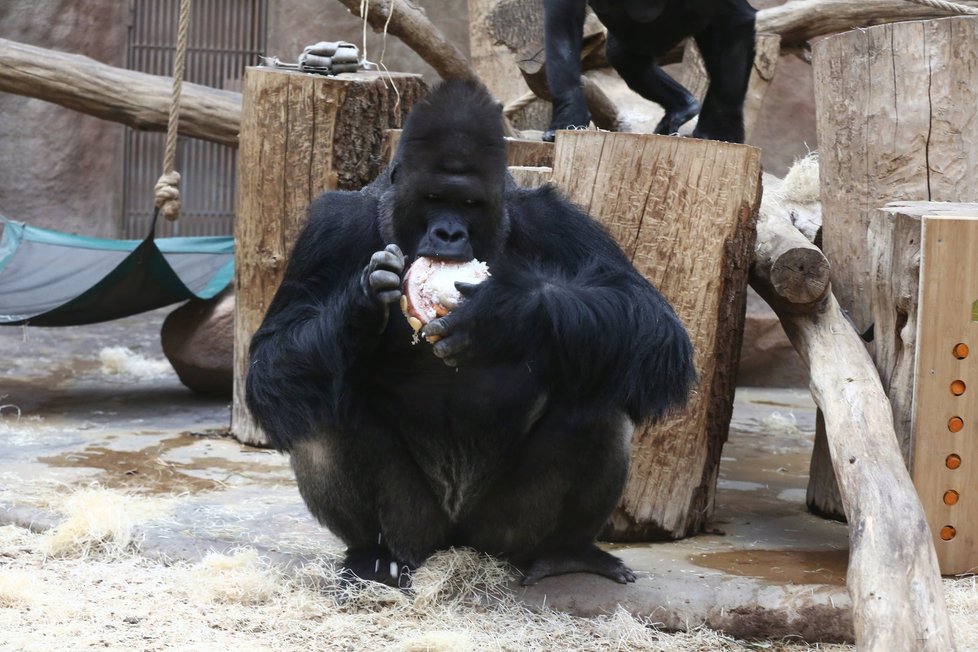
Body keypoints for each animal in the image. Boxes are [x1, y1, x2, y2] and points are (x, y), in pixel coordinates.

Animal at [244, 79, 692, 588]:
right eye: (434, 200)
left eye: (470, 204)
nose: (449, 234)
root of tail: (455, 545)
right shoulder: (329, 228)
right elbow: (271, 362)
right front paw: (360, 306)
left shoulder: (558, 219)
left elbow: (652, 325)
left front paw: (508, 314)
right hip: (416, 530)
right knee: (311, 398)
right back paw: (370, 555)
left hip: (502, 532)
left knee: (602, 389)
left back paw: (566, 551)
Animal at [540, 0, 756, 143]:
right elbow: (563, 21)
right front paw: (569, 113)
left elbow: (738, 20)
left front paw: (723, 130)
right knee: (625, 58)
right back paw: (684, 106)